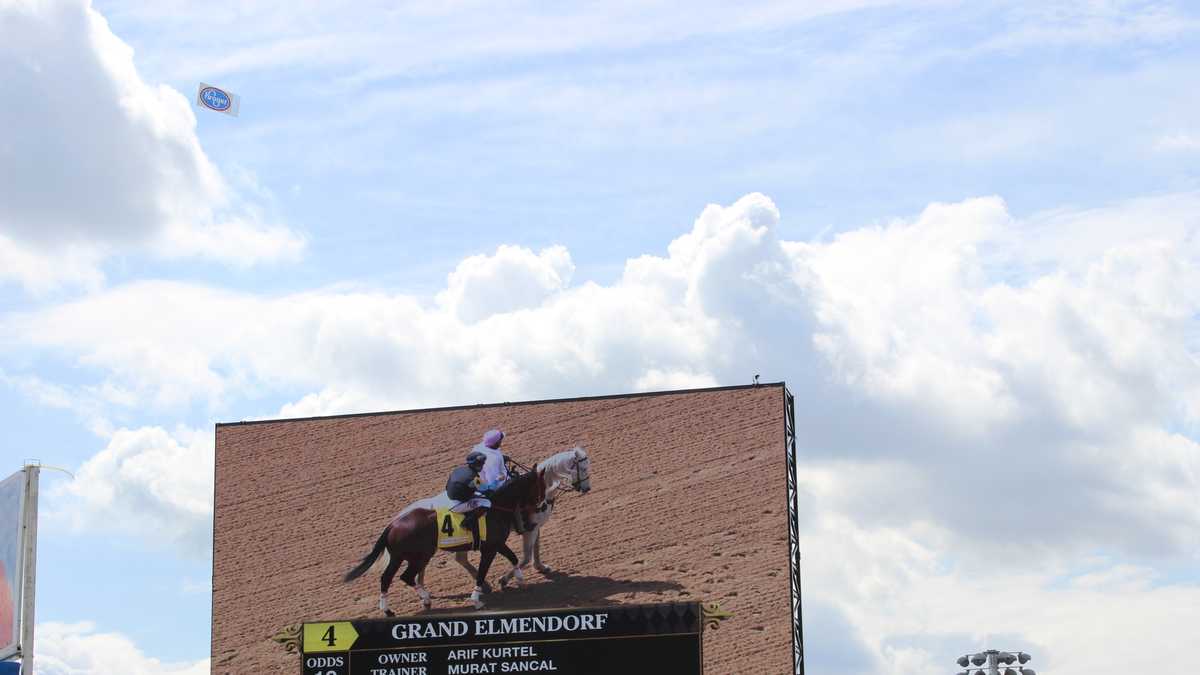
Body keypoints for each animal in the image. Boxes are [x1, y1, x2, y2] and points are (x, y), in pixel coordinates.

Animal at [345, 466, 537, 612]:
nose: (538, 508)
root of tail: (393, 525)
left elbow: (513, 557)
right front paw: (476, 600)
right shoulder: (490, 548)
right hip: (419, 556)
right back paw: (424, 599)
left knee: (388, 578)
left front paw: (520, 581)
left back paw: (389, 610)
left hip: (399, 557)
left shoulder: (497, 544)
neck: (496, 508)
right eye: (537, 487)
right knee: (405, 576)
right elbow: (482, 572)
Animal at [417, 446, 595, 598]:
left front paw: (541, 567)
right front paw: (504, 579)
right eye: (583, 468)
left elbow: (536, 548)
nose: (587, 488)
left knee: (456, 559)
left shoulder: (535, 527)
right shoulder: (529, 529)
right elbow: (525, 557)